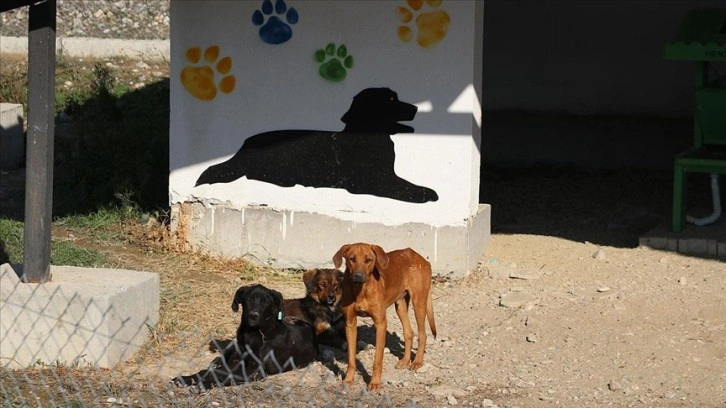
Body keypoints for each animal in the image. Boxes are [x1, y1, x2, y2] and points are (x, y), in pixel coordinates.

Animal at [173, 284, 318, 388]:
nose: (253, 316)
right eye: (248, 300)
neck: (253, 332)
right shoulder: (236, 361)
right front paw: (187, 378)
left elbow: (226, 375)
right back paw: (216, 361)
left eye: (266, 302)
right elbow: (210, 371)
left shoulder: (257, 370)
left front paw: (204, 384)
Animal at [193, 89, 440, 204]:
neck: (368, 136)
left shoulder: (386, 175)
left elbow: (403, 182)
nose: (416, 108)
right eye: (390, 100)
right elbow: (402, 187)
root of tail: (244, 144)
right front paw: (424, 192)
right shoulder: (371, 181)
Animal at [336, 244, 438, 390]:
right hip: (400, 304)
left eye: (368, 260)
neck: (361, 290)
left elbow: (378, 360)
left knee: (422, 335)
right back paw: (405, 360)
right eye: (352, 259)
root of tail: (419, 256)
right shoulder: (350, 323)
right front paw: (348, 380)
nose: (358, 276)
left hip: (419, 302)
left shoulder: (381, 324)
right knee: (409, 333)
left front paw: (375, 383)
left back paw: (417, 362)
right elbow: (351, 359)